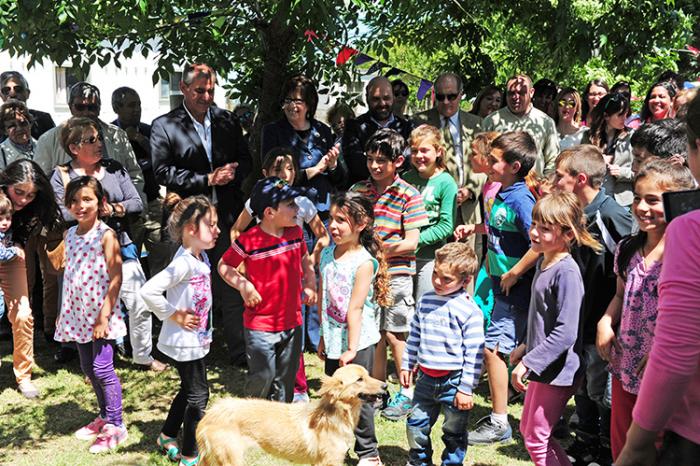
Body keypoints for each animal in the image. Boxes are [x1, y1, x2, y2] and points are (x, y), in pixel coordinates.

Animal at [197, 364, 388, 466]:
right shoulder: (328, 462)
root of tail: (209, 414)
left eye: (368, 374)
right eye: (359, 379)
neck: (334, 415)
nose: (385, 386)